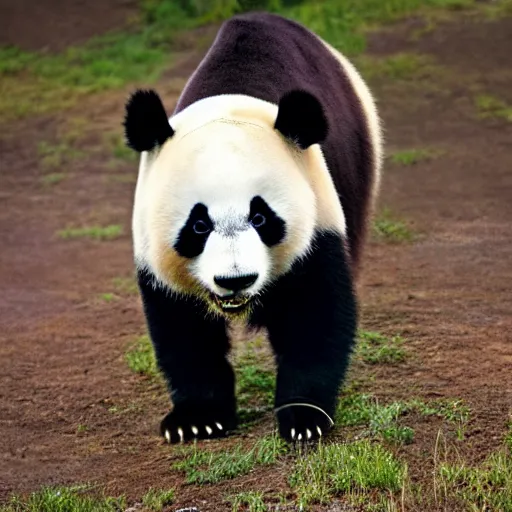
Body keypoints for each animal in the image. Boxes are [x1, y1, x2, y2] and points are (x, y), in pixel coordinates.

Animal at [123, 11, 380, 444]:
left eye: (261, 218)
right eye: (198, 225)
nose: (235, 280)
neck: (227, 103)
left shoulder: (317, 215)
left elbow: (314, 315)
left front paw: (304, 417)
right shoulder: (153, 253)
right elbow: (182, 331)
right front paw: (197, 418)